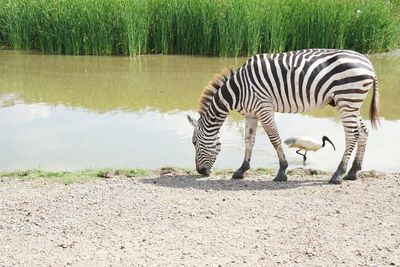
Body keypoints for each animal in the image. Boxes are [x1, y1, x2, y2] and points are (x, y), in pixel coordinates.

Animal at [188, 48, 378, 184]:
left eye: (194, 143)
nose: (200, 172)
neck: (238, 90)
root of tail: (368, 62)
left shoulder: (263, 108)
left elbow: (275, 139)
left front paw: (281, 172)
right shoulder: (251, 114)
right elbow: (249, 141)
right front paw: (241, 170)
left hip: (347, 99)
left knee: (352, 135)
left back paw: (338, 174)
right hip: (350, 103)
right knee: (363, 132)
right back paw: (353, 172)